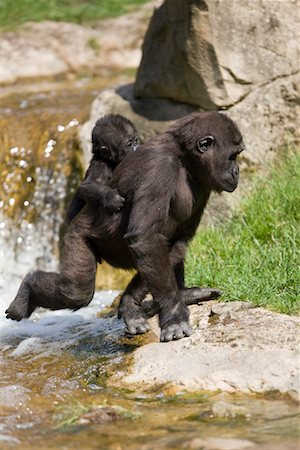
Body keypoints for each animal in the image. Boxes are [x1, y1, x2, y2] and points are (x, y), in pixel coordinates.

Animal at [5, 111, 244, 342]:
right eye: (232, 156)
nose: (237, 171)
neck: (184, 158)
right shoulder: (159, 166)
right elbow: (145, 237)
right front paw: (173, 314)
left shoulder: (203, 184)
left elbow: (176, 241)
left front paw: (130, 301)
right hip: (76, 234)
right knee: (75, 290)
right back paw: (27, 289)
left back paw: (184, 294)